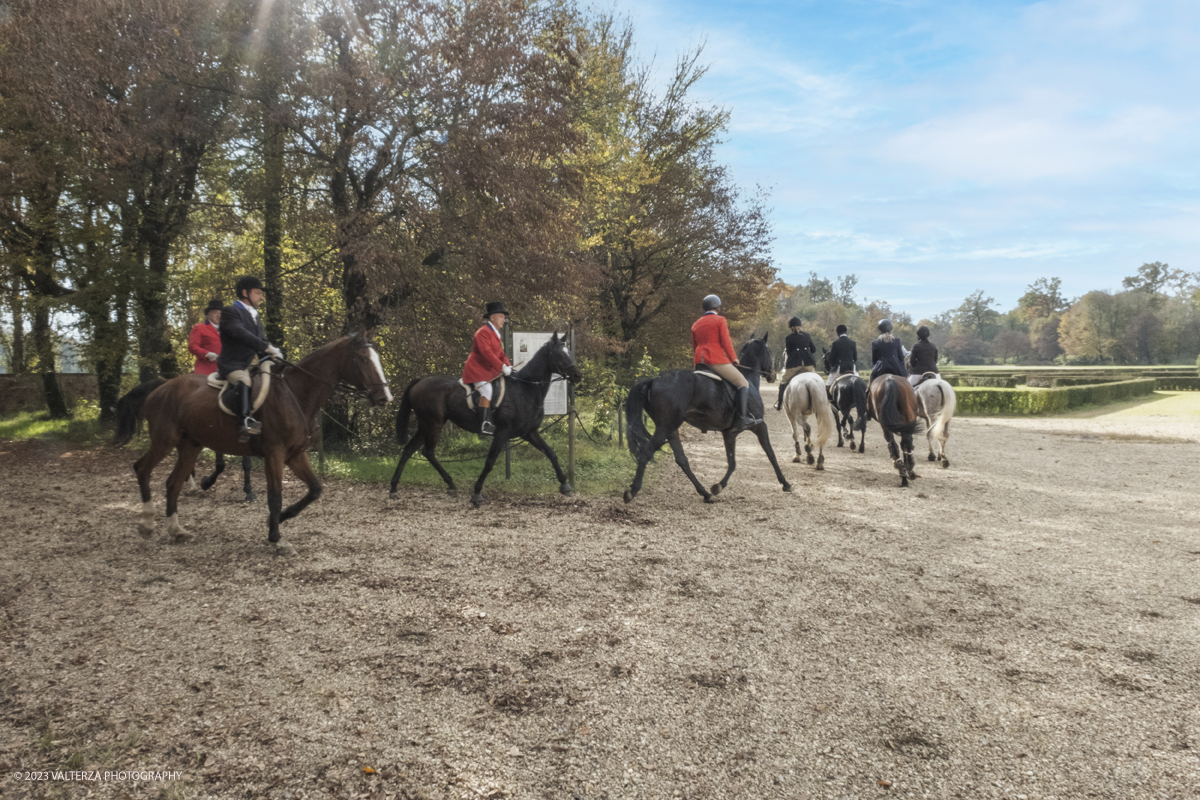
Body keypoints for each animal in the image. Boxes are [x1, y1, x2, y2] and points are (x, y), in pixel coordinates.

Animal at [112, 335, 393, 554]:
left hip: (191, 445)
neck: (296, 394)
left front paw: (277, 520)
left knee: (173, 483)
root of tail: (162, 386)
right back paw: (147, 524)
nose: (385, 397)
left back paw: (176, 530)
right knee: (142, 469)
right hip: (165, 440)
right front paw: (277, 539)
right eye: (363, 359)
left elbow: (315, 490)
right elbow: (275, 496)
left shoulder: (295, 454)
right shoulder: (275, 454)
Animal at [388, 335, 580, 510]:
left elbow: (551, 453)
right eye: (559, 354)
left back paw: (395, 487)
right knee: (427, 451)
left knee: (409, 450)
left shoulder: (529, 432)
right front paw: (477, 493)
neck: (526, 388)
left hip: (426, 425)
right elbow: (489, 462)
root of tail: (420, 380)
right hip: (433, 424)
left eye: (570, 352)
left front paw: (565, 485)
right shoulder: (502, 433)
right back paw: (446, 484)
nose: (578, 376)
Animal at [624, 335, 792, 503]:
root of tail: (653, 381)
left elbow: (732, 462)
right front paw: (785, 483)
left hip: (670, 428)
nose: (772, 375)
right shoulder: (760, 425)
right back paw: (632, 491)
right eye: (769, 352)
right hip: (666, 426)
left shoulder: (730, 433)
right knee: (647, 452)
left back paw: (705, 493)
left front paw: (718, 486)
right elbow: (770, 453)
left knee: (681, 459)